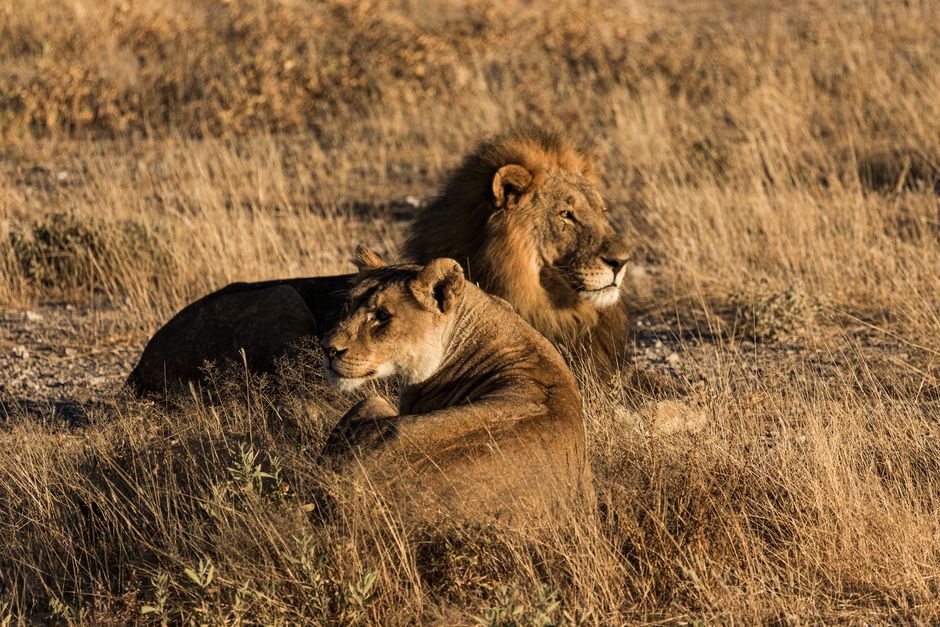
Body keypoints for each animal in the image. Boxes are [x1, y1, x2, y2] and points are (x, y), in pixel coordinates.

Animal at [128, 127, 637, 395]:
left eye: (602, 211)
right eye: (567, 214)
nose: (623, 261)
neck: (557, 306)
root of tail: (141, 364)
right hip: (282, 297)